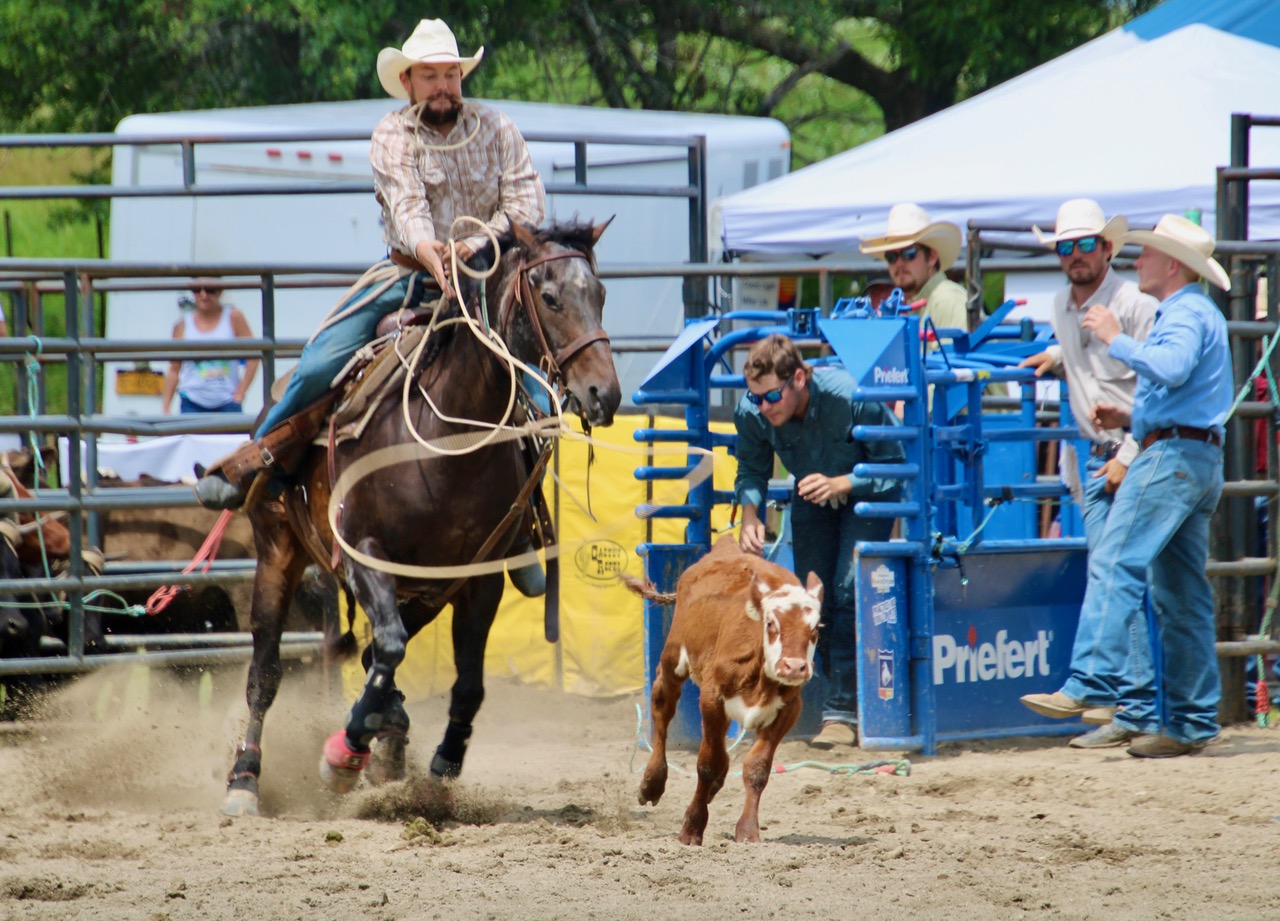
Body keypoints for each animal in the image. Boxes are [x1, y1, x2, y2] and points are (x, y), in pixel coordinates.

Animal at [620, 535, 823, 845]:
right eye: (771, 623)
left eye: (815, 630)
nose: (794, 667)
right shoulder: (712, 698)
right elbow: (707, 763)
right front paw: (691, 828)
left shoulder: (789, 709)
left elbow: (757, 768)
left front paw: (748, 829)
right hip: (673, 657)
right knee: (662, 708)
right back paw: (652, 782)